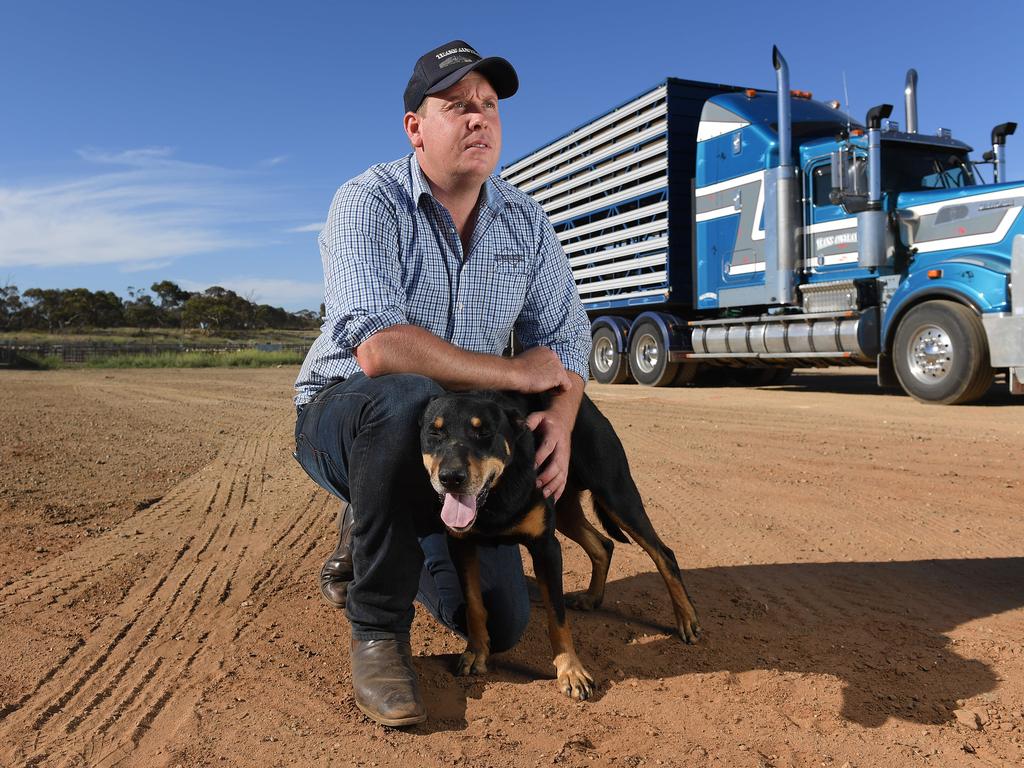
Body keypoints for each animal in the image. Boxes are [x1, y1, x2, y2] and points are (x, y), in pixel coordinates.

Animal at [419, 393, 700, 700]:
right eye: (435, 432)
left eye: (484, 433)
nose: (451, 478)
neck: (495, 496)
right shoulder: (461, 545)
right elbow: (474, 604)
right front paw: (476, 653)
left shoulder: (547, 547)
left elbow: (557, 618)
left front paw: (571, 672)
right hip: (565, 507)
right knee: (603, 544)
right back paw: (592, 598)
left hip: (616, 495)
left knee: (663, 554)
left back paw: (687, 619)